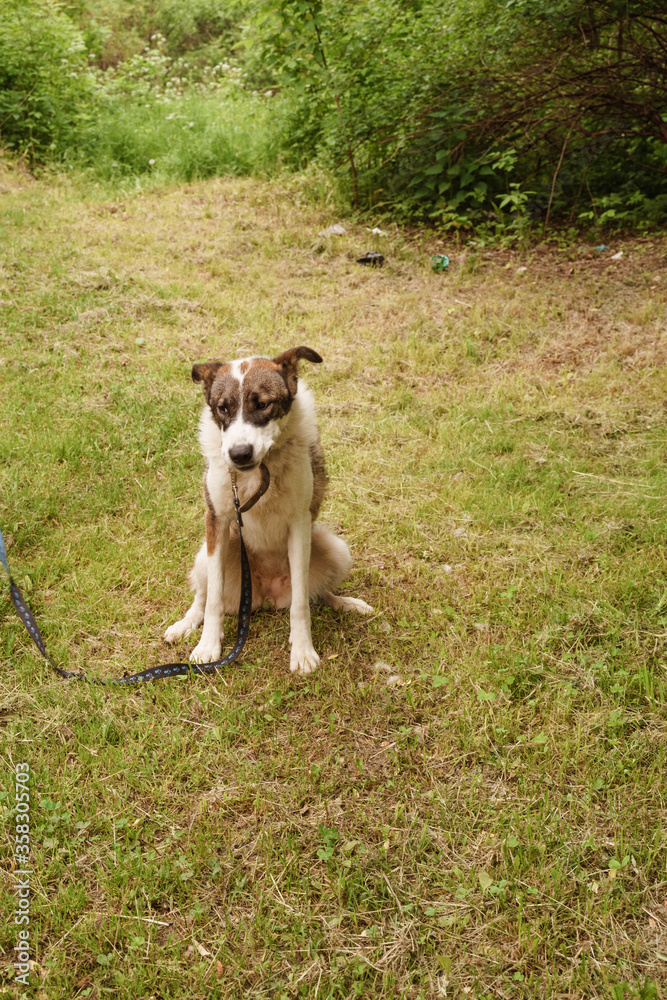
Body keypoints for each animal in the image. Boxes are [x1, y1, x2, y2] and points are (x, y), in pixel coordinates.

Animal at [164, 348, 374, 676]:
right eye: (223, 408)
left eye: (262, 404)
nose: (239, 454)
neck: (259, 472)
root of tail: (266, 594)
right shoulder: (217, 521)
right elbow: (213, 601)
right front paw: (208, 646)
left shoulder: (299, 523)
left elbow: (301, 603)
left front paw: (302, 651)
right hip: (206, 554)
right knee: (203, 595)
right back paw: (185, 624)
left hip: (337, 550)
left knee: (318, 593)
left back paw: (347, 604)